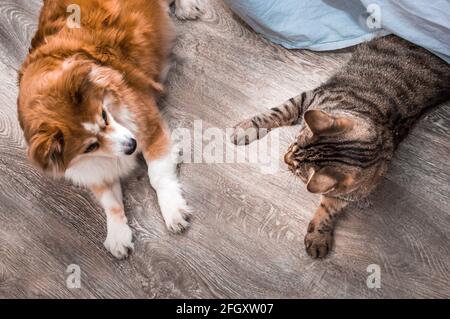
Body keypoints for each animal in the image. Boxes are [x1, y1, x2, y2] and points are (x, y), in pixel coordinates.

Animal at [232, 35, 450, 260]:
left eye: (296, 170)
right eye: (294, 142)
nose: (284, 157)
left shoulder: (348, 192)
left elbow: (329, 209)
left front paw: (318, 235)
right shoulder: (309, 98)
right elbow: (278, 111)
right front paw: (247, 128)